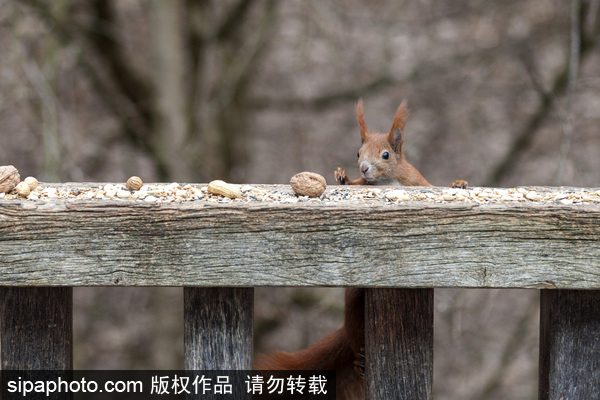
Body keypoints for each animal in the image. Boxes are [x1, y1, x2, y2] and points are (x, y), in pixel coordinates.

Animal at [255, 100, 466, 400]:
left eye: (386, 155)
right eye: (358, 153)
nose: (363, 168)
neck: (387, 183)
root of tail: (346, 332)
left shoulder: (417, 183)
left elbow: (433, 186)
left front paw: (457, 184)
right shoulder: (363, 184)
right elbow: (354, 185)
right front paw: (342, 178)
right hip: (355, 309)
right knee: (356, 343)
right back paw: (361, 362)